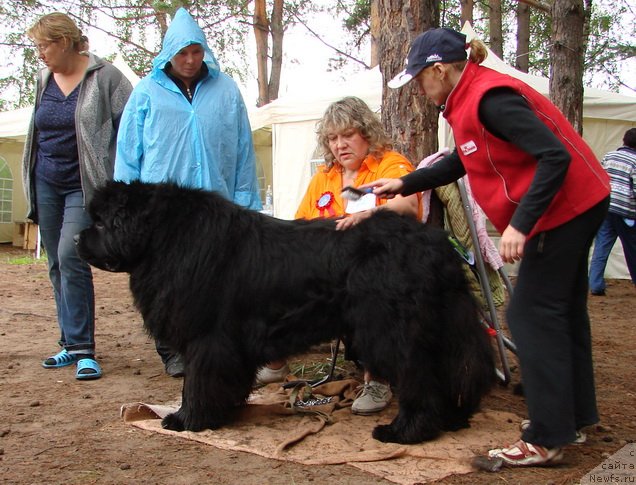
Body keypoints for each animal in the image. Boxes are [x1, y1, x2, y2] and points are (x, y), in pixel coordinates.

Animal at [77, 181, 494, 442]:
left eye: (99, 221)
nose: (79, 238)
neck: (166, 238)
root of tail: (436, 243)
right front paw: (223, 411)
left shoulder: (207, 339)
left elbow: (196, 383)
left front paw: (187, 419)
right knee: (451, 374)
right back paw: (451, 419)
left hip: (391, 332)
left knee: (419, 380)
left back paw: (405, 432)